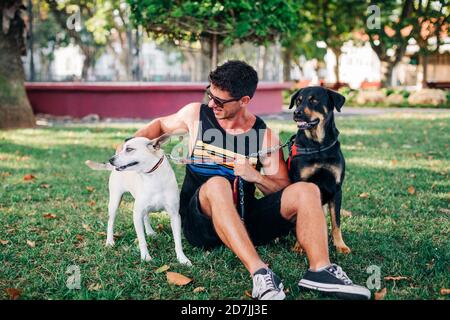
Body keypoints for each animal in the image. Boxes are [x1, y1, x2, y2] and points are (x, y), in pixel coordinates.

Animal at [85, 135, 191, 264]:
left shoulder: (175, 215)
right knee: (111, 222)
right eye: (123, 148)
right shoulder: (136, 214)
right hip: (115, 201)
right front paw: (145, 257)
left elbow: (178, 241)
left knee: (145, 217)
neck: (152, 177)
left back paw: (150, 232)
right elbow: (142, 240)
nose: (110, 160)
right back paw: (109, 241)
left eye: (129, 149)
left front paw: (182, 259)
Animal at [288, 86, 352, 254]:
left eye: (314, 100)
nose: (296, 112)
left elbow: (336, 222)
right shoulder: (300, 184)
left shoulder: (336, 188)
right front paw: (299, 245)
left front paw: (340, 245)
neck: (318, 145)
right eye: (298, 101)